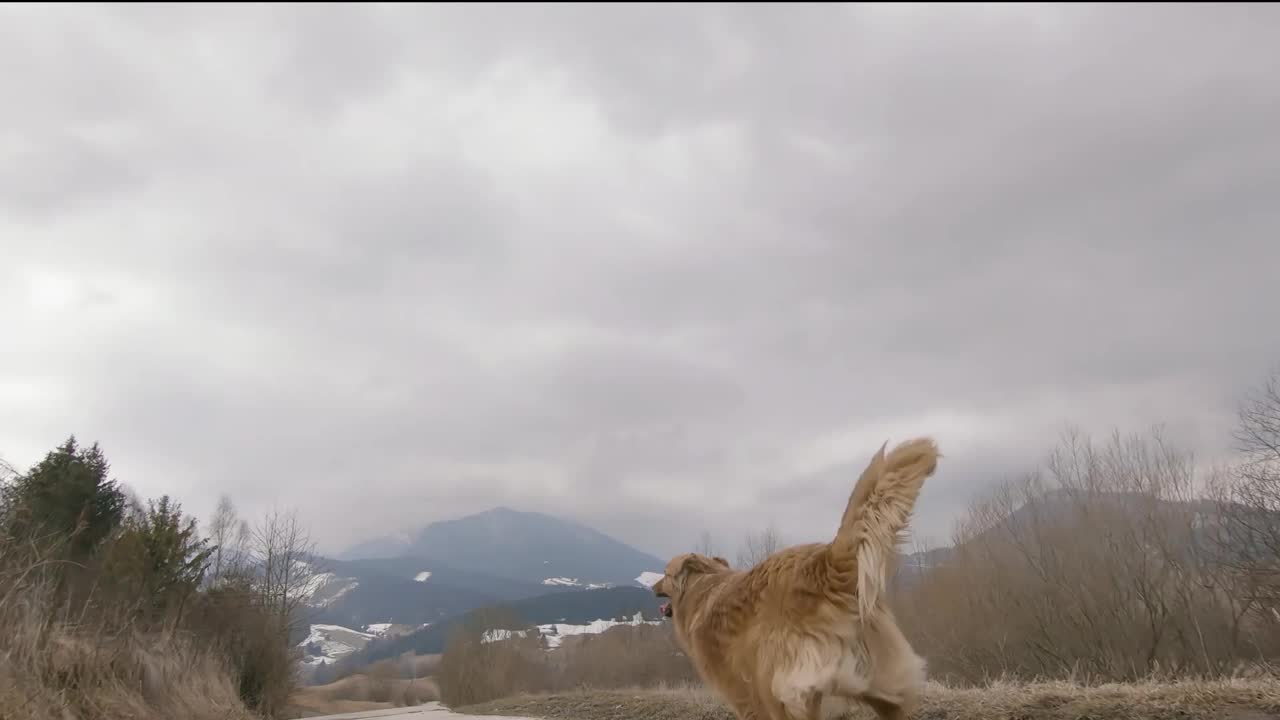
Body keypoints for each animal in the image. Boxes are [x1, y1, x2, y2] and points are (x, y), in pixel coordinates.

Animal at [650, 435, 942, 717]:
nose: (652, 587)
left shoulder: (743, 695)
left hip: (779, 687)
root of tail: (826, 562)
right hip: (880, 684)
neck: (702, 585)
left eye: (664, 573)